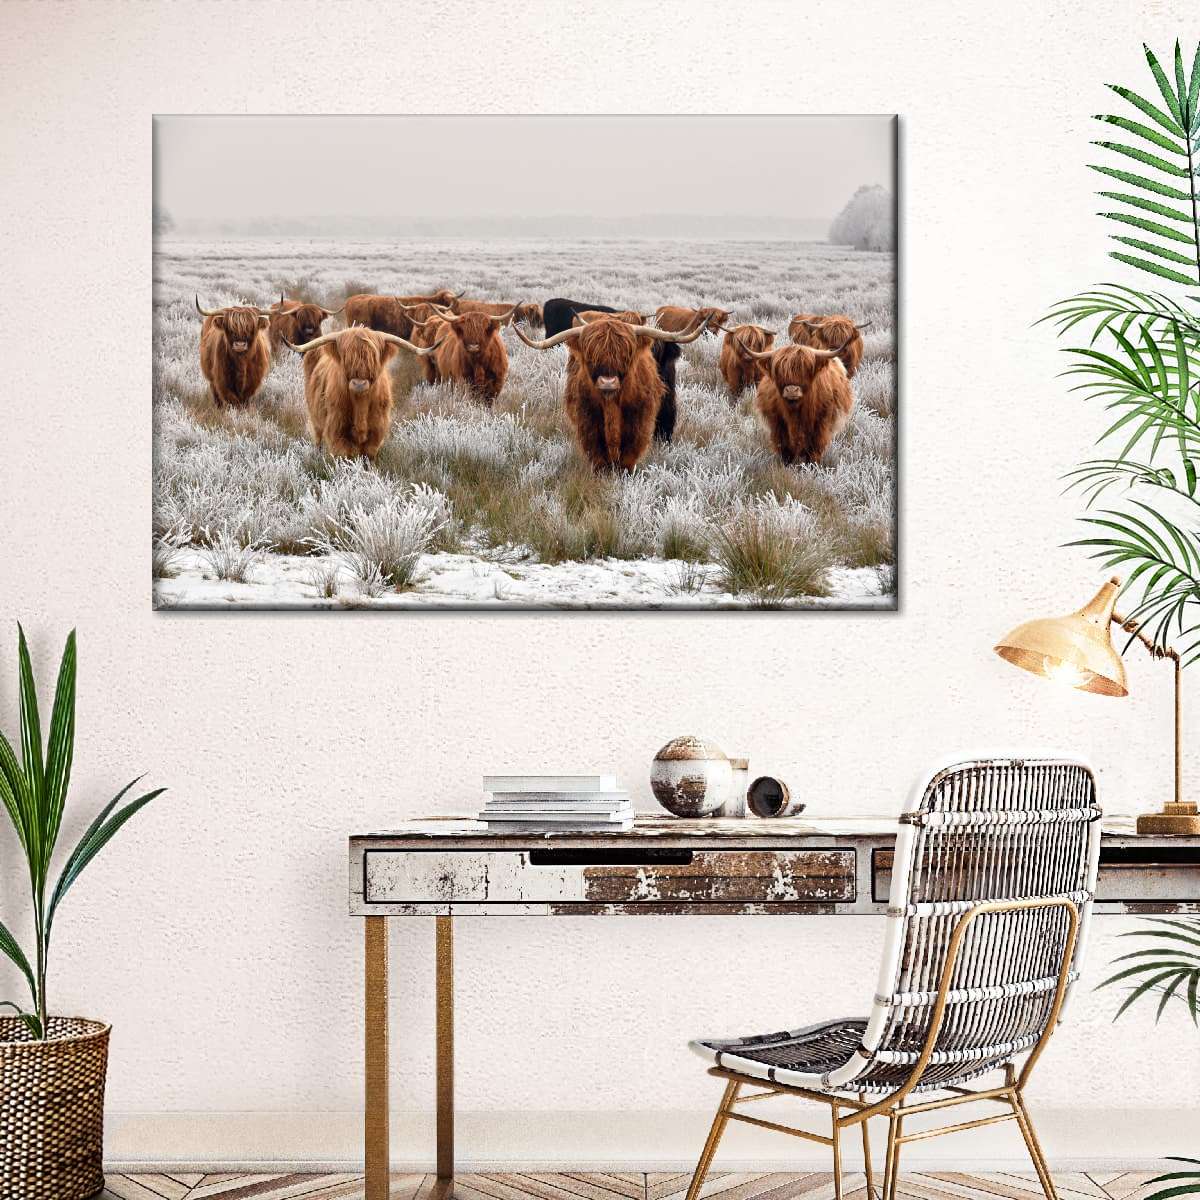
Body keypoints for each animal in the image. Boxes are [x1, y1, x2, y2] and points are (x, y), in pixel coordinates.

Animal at [285, 327, 444, 461]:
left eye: (373, 358)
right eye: (346, 358)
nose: (359, 384)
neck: (360, 405)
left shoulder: (376, 431)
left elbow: (369, 457)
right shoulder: (337, 429)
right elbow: (345, 456)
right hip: (315, 418)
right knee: (318, 438)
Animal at [515, 314, 705, 472]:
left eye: (626, 354)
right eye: (591, 355)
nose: (608, 382)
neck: (611, 403)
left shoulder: (638, 421)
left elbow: (629, 453)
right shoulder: (588, 419)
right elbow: (597, 452)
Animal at [737, 336, 856, 465]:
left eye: (806, 369)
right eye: (779, 370)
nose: (791, 390)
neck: (796, 413)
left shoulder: (821, 423)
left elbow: (814, 449)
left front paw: (812, 466)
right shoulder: (777, 424)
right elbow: (785, 448)